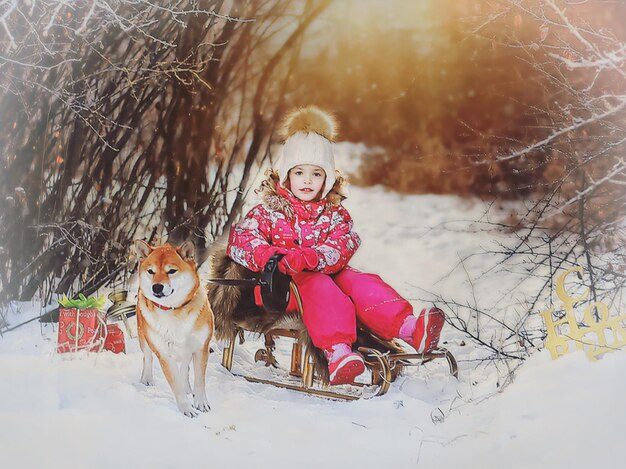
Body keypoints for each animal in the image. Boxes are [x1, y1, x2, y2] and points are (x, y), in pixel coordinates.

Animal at [133, 239, 213, 414]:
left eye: (171, 271)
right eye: (151, 271)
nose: (157, 287)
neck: (173, 310)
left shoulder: (200, 347)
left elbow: (199, 380)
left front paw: (201, 402)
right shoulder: (164, 354)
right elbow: (175, 385)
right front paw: (186, 408)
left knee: (185, 368)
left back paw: (188, 387)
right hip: (143, 336)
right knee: (147, 357)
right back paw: (147, 378)